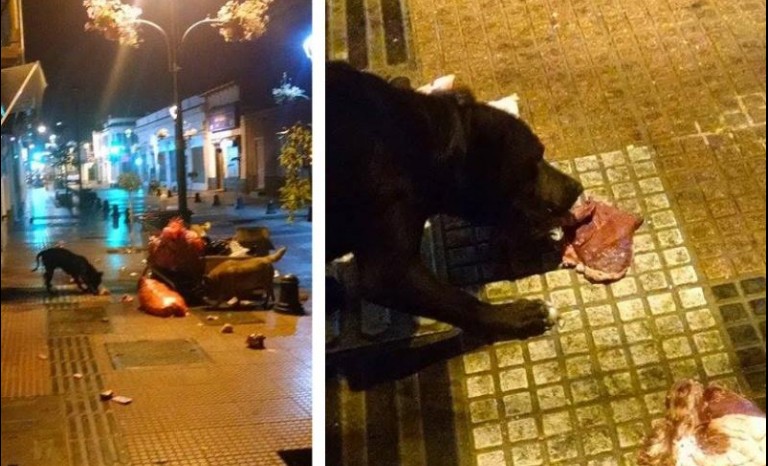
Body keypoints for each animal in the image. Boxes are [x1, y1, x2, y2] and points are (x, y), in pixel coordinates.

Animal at [324, 61, 584, 338]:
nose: (576, 188)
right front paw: (521, 316)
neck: (420, 142)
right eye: (534, 161)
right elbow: (460, 302)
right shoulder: (389, 270)